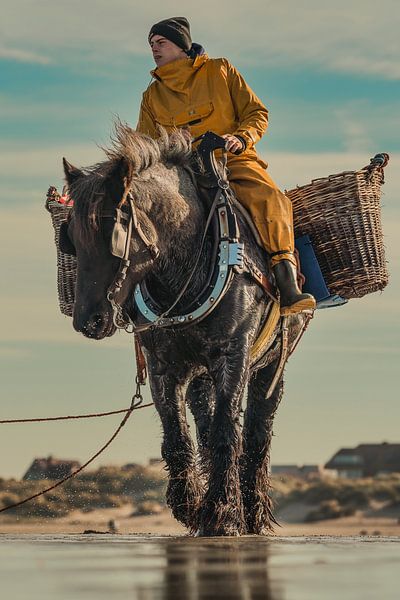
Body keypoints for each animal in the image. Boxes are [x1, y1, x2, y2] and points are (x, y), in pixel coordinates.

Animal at [61, 122, 310, 536]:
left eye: (114, 230)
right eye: (72, 240)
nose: (88, 320)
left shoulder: (233, 355)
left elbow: (229, 431)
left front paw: (222, 512)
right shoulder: (163, 366)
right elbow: (178, 436)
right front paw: (190, 507)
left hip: (272, 362)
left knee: (257, 432)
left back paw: (253, 511)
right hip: (199, 374)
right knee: (206, 428)